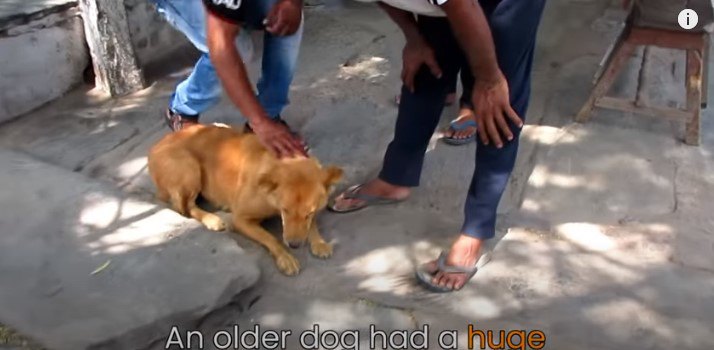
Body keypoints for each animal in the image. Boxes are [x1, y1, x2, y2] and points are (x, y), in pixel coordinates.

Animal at [146, 124, 340, 274]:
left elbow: (312, 225)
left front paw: (319, 242)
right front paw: (285, 257)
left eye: (309, 213)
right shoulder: (241, 219)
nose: (294, 245)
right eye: (285, 210)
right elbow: (271, 238)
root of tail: (155, 146)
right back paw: (213, 219)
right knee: (185, 206)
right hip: (190, 166)